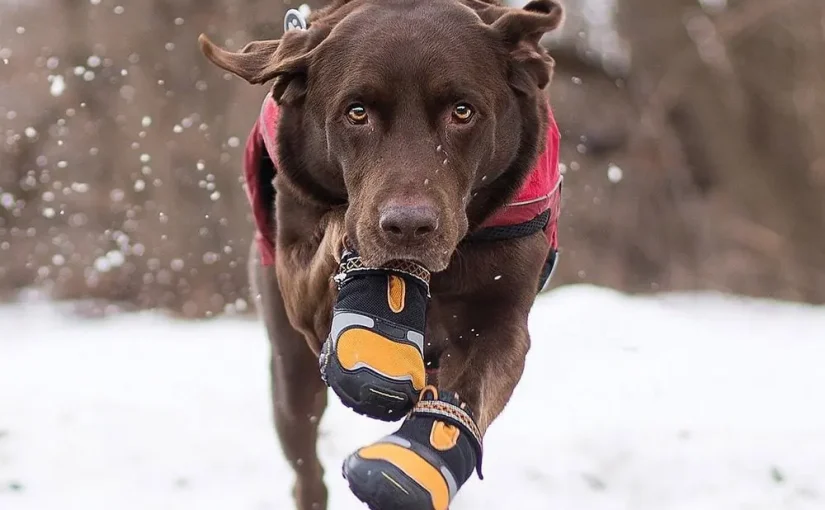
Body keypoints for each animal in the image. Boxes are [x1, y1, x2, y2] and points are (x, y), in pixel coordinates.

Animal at [200, 1, 564, 508]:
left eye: (463, 112)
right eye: (356, 113)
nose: (408, 225)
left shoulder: (501, 319)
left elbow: (471, 386)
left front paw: (410, 466)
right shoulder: (296, 271)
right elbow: (340, 237)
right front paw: (378, 331)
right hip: (289, 369)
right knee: (305, 463)